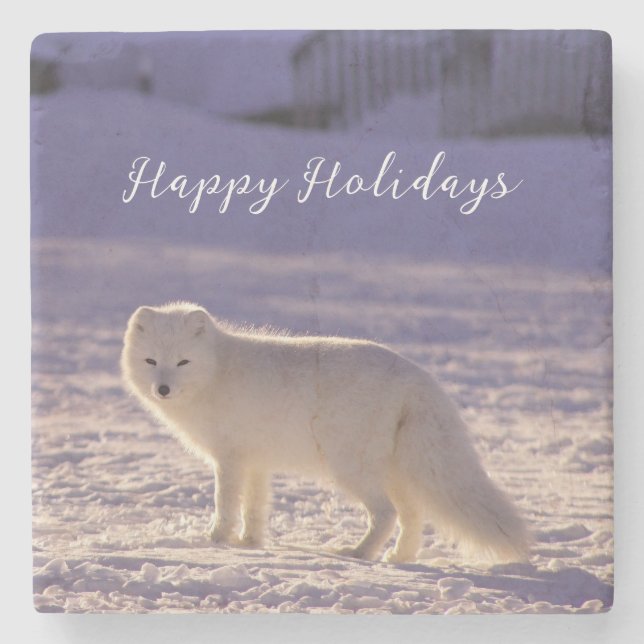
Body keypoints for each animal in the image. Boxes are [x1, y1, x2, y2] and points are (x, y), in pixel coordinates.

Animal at [121, 301, 530, 564]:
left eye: (183, 362)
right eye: (151, 361)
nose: (163, 389)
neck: (217, 372)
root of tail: (417, 376)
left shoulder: (230, 458)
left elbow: (225, 503)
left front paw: (216, 541)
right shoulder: (256, 461)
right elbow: (255, 507)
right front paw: (250, 543)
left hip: (350, 467)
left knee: (386, 513)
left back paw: (360, 554)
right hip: (395, 472)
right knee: (412, 515)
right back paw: (399, 558)